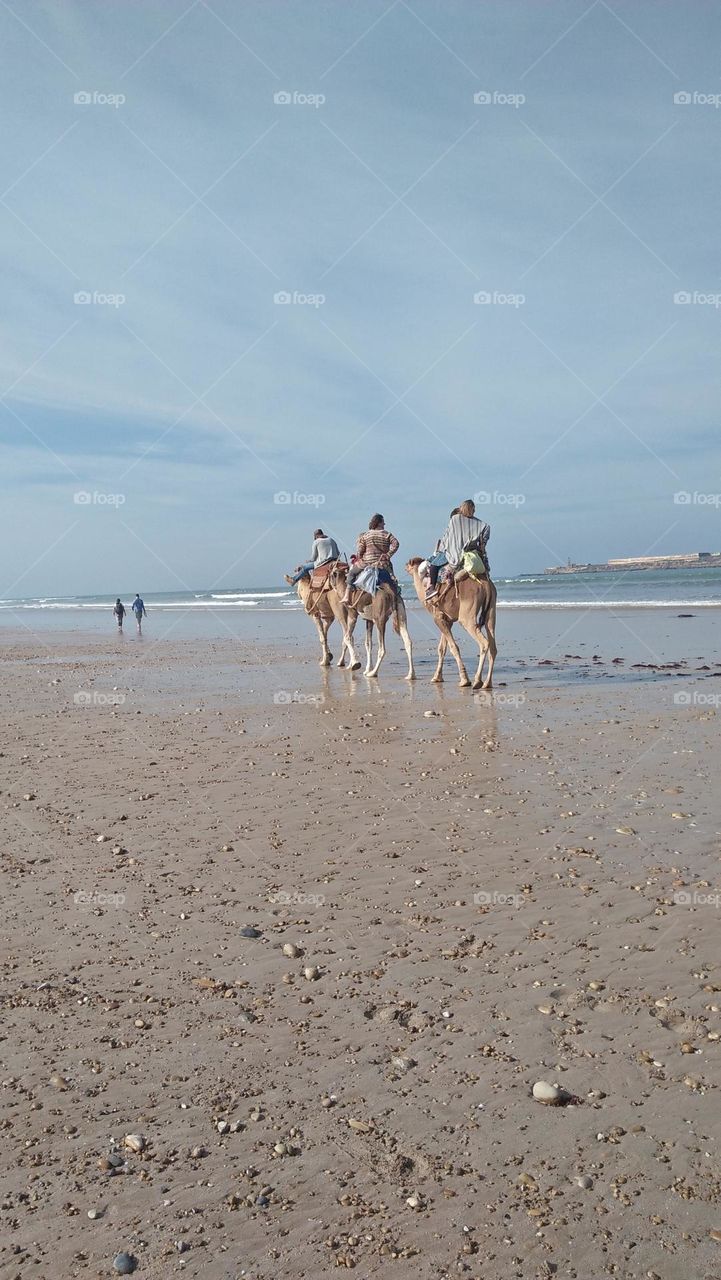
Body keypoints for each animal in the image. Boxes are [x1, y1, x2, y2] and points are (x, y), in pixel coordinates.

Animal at [406, 558, 497, 689]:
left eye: (409, 564)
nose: (405, 565)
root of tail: (485, 585)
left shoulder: (438, 618)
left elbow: (454, 647)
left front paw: (464, 680)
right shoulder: (446, 620)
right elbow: (441, 648)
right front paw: (437, 677)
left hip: (467, 615)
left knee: (483, 642)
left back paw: (477, 681)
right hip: (491, 609)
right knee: (493, 642)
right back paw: (487, 683)